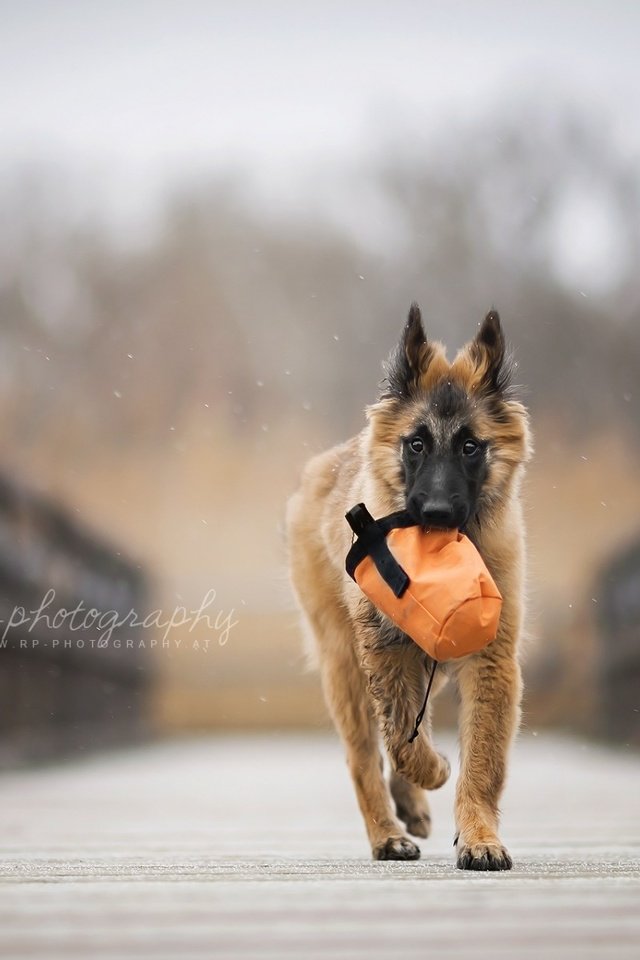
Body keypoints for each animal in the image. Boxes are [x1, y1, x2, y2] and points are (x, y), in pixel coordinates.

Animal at [284, 306, 528, 872]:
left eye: (469, 446)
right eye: (416, 444)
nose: (435, 514)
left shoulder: (489, 661)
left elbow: (480, 761)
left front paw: (480, 837)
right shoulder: (387, 650)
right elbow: (399, 739)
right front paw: (435, 770)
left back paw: (409, 806)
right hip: (343, 666)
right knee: (363, 756)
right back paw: (387, 834)